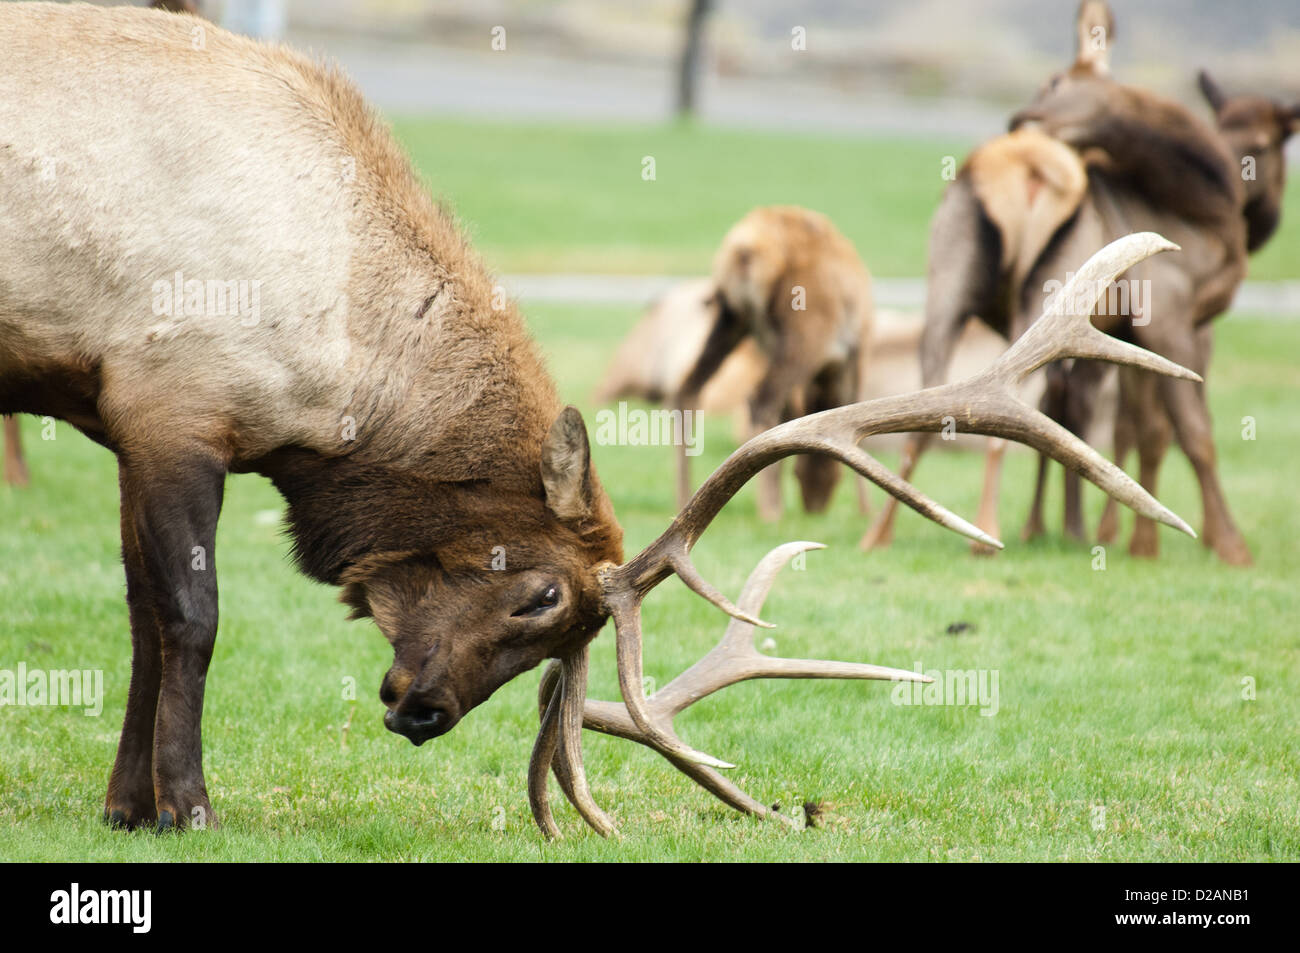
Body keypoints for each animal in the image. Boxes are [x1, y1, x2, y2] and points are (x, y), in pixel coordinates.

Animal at [670, 204, 873, 520]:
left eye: (800, 474)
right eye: (833, 473)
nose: (814, 508)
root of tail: (743, 249)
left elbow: (787, 417)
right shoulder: (859, 346)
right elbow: (856, 403)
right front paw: (868, 512)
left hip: (731, 320)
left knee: (687, 387)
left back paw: (685, 501)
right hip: (805, 329)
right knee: (761, 397)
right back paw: (768, 511)